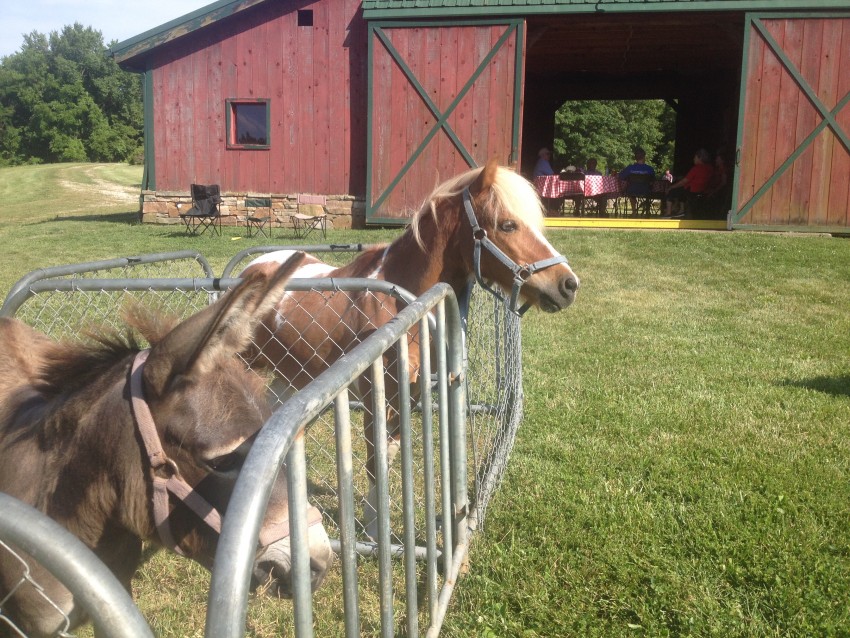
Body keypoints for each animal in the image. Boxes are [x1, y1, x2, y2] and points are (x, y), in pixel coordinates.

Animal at [241, 159, 579, 538]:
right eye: (508, 224)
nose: (568, 285)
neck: (398, 300)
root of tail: (253, 267)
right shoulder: (377, 398)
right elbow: (375, 461)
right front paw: (375, 531)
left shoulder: (409, 395)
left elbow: (389, 455)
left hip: (293, 376)